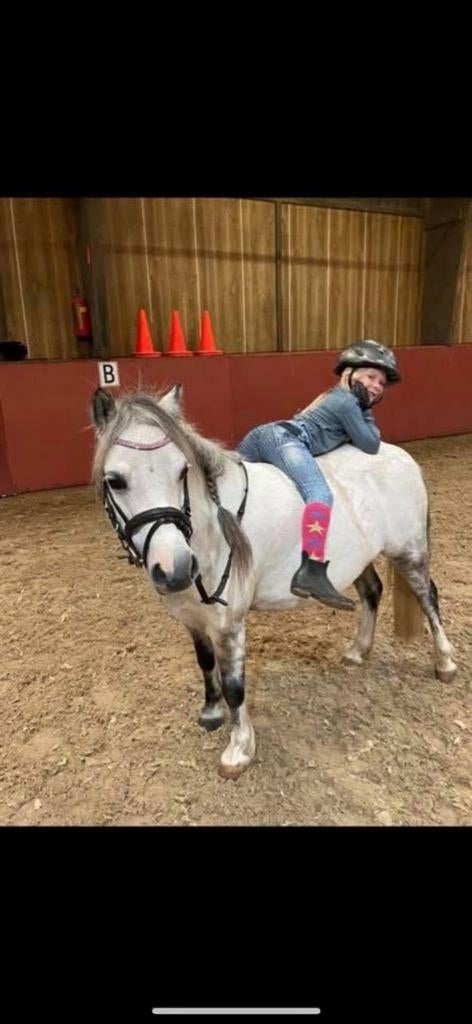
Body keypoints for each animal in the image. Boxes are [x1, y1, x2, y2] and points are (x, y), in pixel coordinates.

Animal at [91, 385, 457, 779]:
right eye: (115, 481)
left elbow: (235, 686)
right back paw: (359, 651)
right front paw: (211, 713)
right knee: (373, 593)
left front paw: (239, 749)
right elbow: (204, 663)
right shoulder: (192, 618)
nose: (175, 568)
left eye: (182, 471)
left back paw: (445, 663)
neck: (211, 530)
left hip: (410, 552)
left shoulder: (229, 624)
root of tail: (401, 456)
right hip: (359, 560)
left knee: (428, 599)